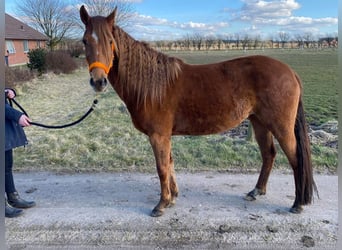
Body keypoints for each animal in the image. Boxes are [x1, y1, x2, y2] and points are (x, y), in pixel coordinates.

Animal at [79, 5, 316, 217]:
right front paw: (172, 197)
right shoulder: (165, 136)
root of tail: (290, 72)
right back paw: (256, 191)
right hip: (259, 122)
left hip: (280, 127)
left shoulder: (158, 136)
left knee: (295, 159)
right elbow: (170, 163)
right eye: (84, 41)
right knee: (269, 155)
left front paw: (161, 204)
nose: (98, 82)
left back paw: (297, 203)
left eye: (110, 41)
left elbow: (162, 168)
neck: (153, 84)